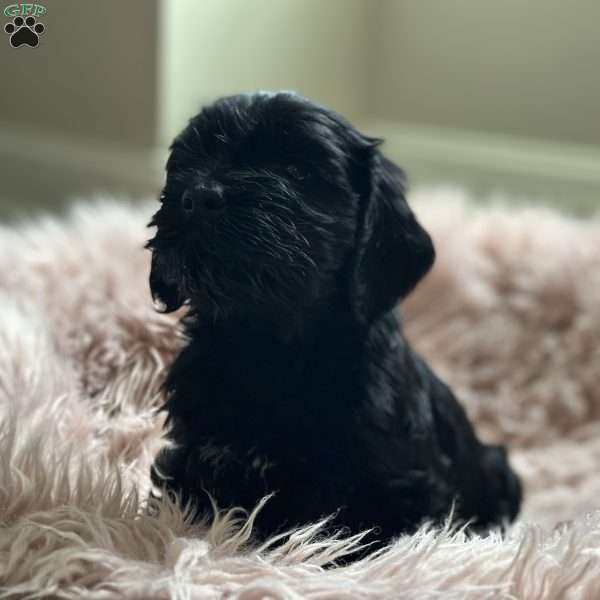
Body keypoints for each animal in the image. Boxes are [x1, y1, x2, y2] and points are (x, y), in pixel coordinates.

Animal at [145, 90, 520, 548]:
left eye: (297, 171)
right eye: (195, 158)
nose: (199, 195)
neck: (267, 345)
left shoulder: (397, 490)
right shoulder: (195, 458)